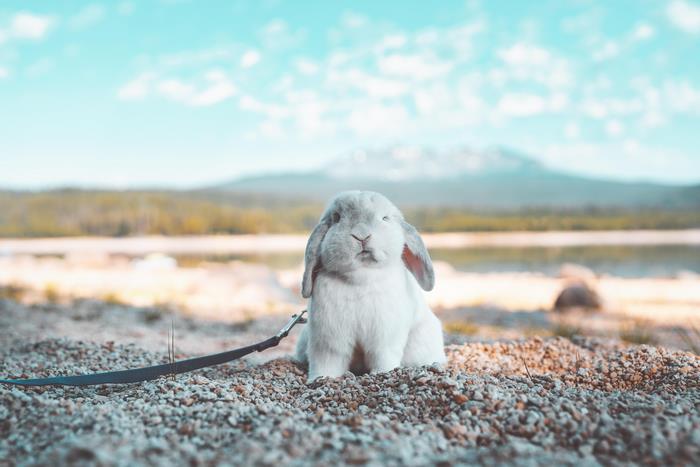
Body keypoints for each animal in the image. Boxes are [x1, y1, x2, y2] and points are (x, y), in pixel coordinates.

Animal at [295, 190, 446, 382]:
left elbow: (382, 356)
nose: (362, 235)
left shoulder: (384, 338)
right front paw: (321, 378)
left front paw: (383, 373)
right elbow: (328, 361)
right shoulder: (329, 339)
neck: (360, 278)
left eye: (385, 218)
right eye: (336, 218)